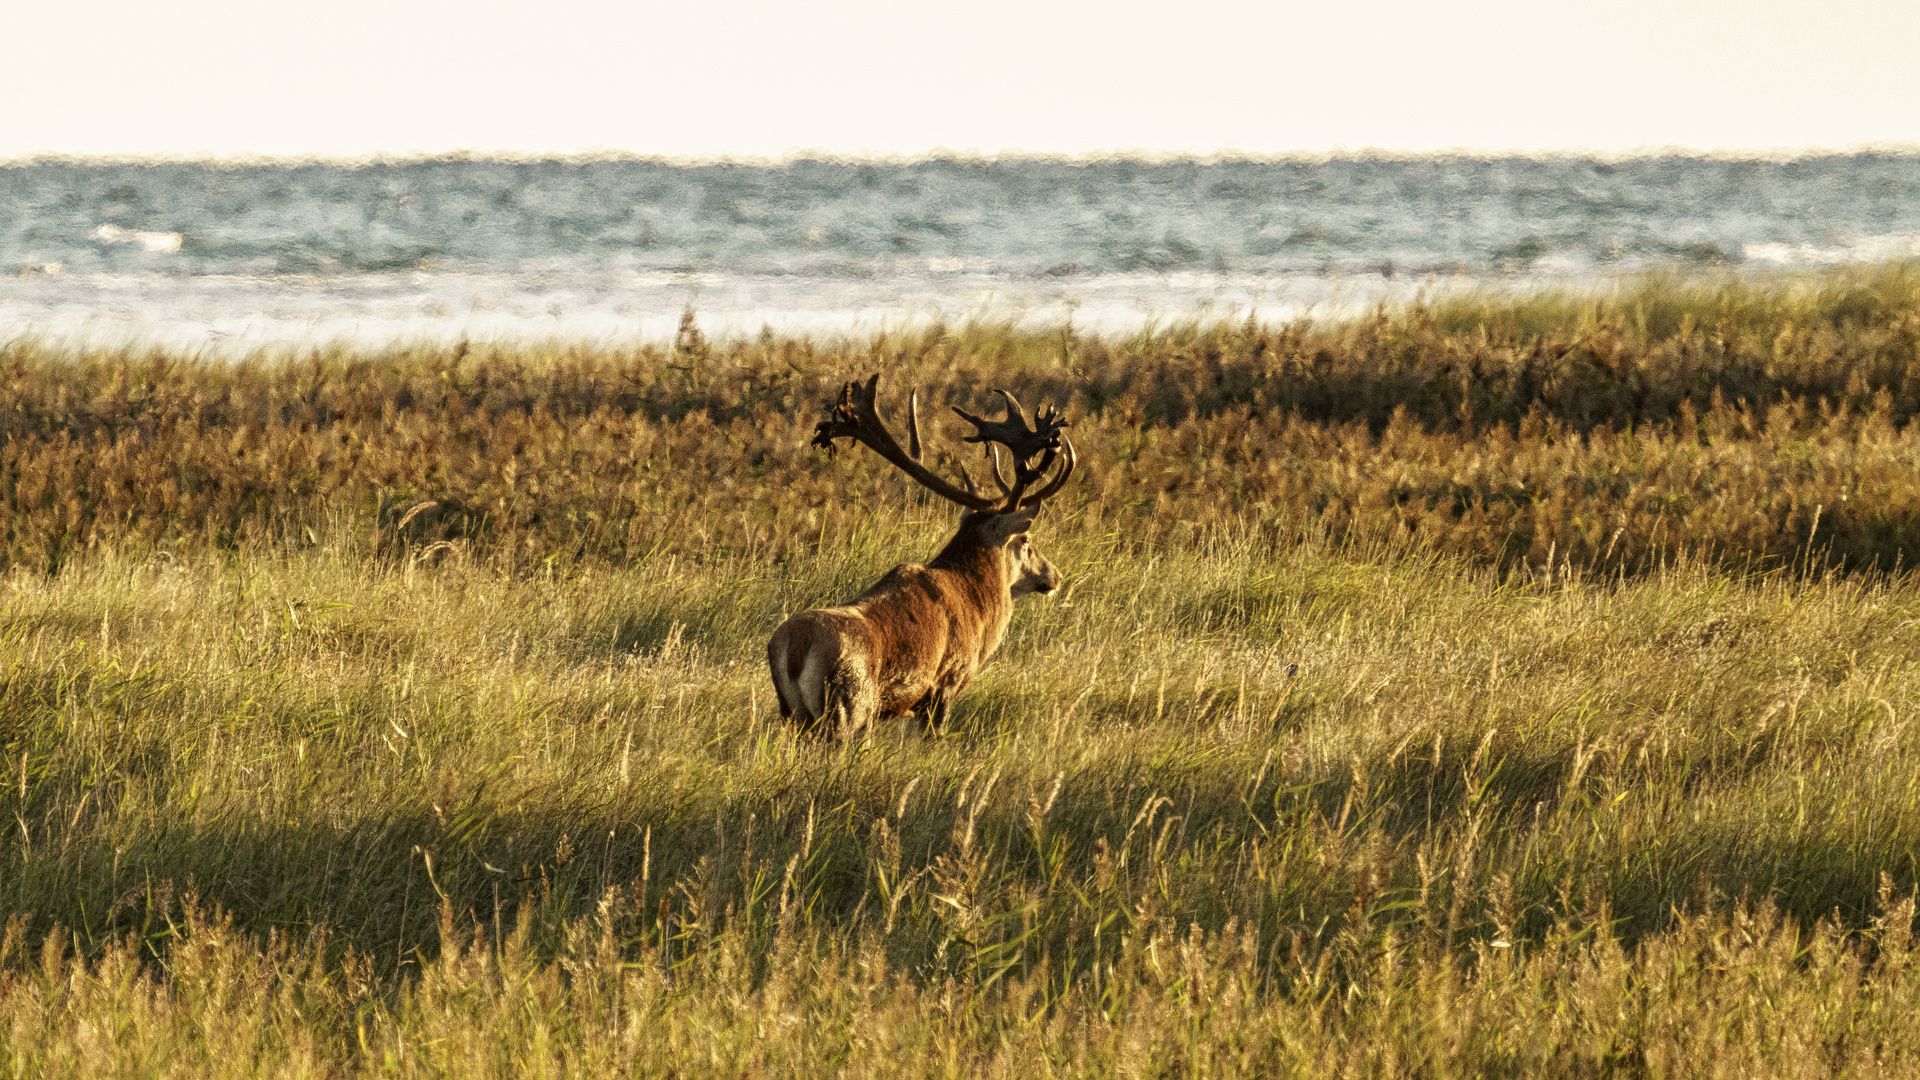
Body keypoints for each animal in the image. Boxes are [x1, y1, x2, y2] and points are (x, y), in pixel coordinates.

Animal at [771, 374, 1090, 734]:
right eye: (1026, 540)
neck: (978, 604)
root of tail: (794, 650)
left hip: (792, 714)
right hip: (846, 706)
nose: (1055, 575)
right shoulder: (947, 680)